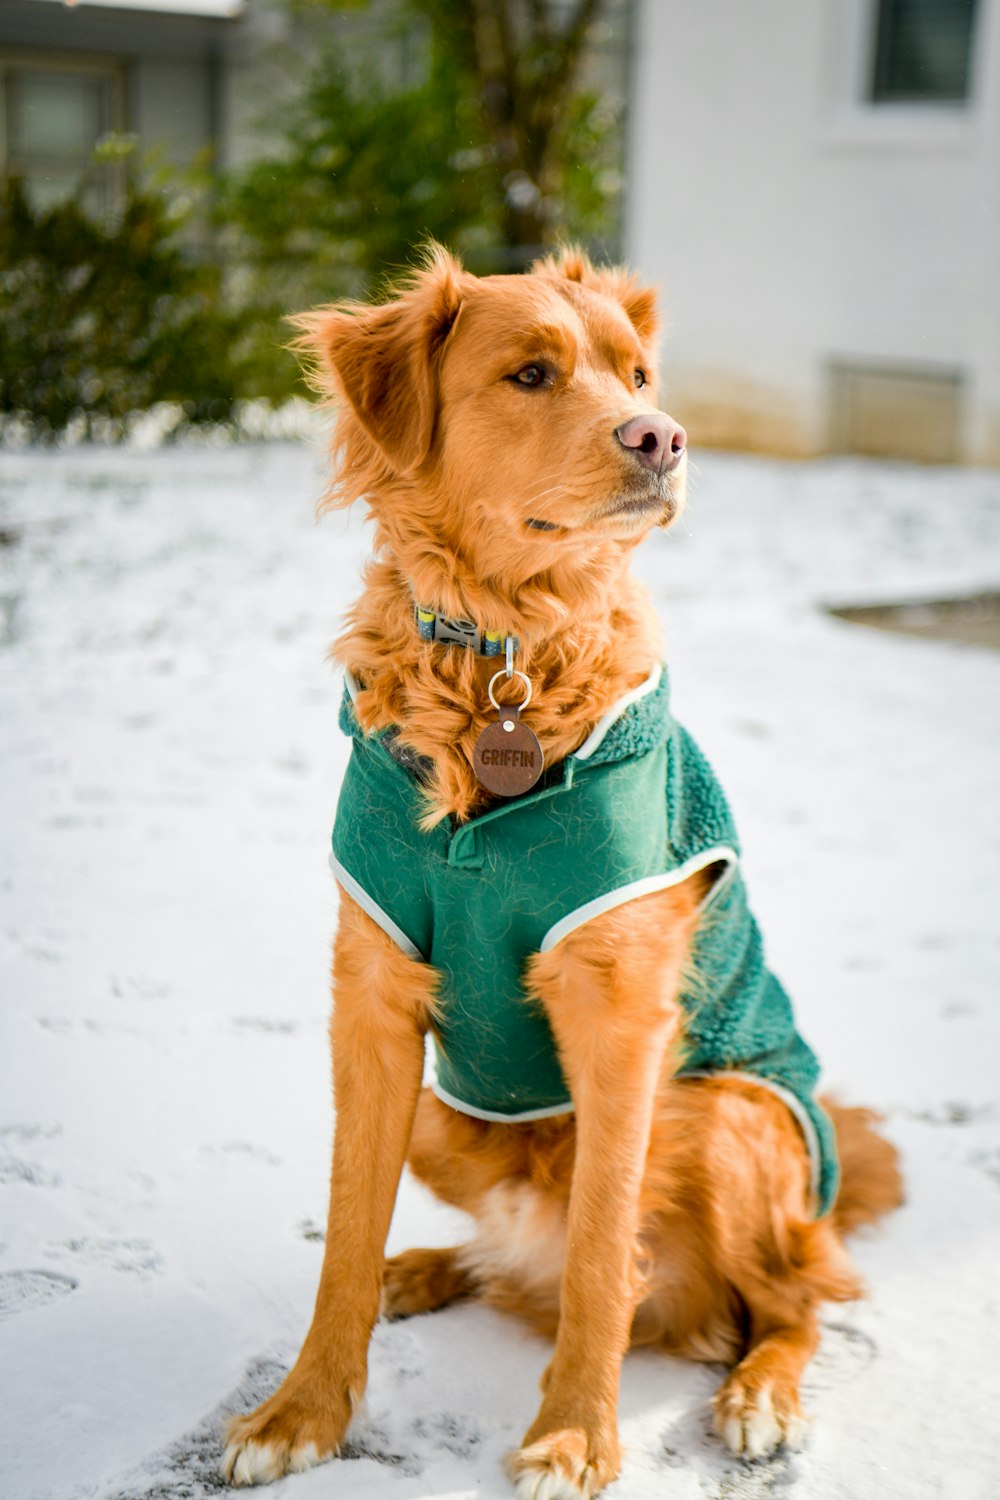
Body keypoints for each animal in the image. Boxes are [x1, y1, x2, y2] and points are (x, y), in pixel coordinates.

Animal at [220, 249, 905, 1500]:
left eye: (637, 376)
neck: (500, 657)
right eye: (530, 374)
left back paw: (758, 1397)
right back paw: (422, 1270)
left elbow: (599, 1251)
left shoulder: (620, 1017)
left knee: (792, 1300)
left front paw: (575, 1437)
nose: (662, 437)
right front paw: (303, 1411)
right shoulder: (372, 1003)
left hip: (721, 1114)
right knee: (503, 1261)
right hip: (448, 1117)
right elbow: (344, 1227)